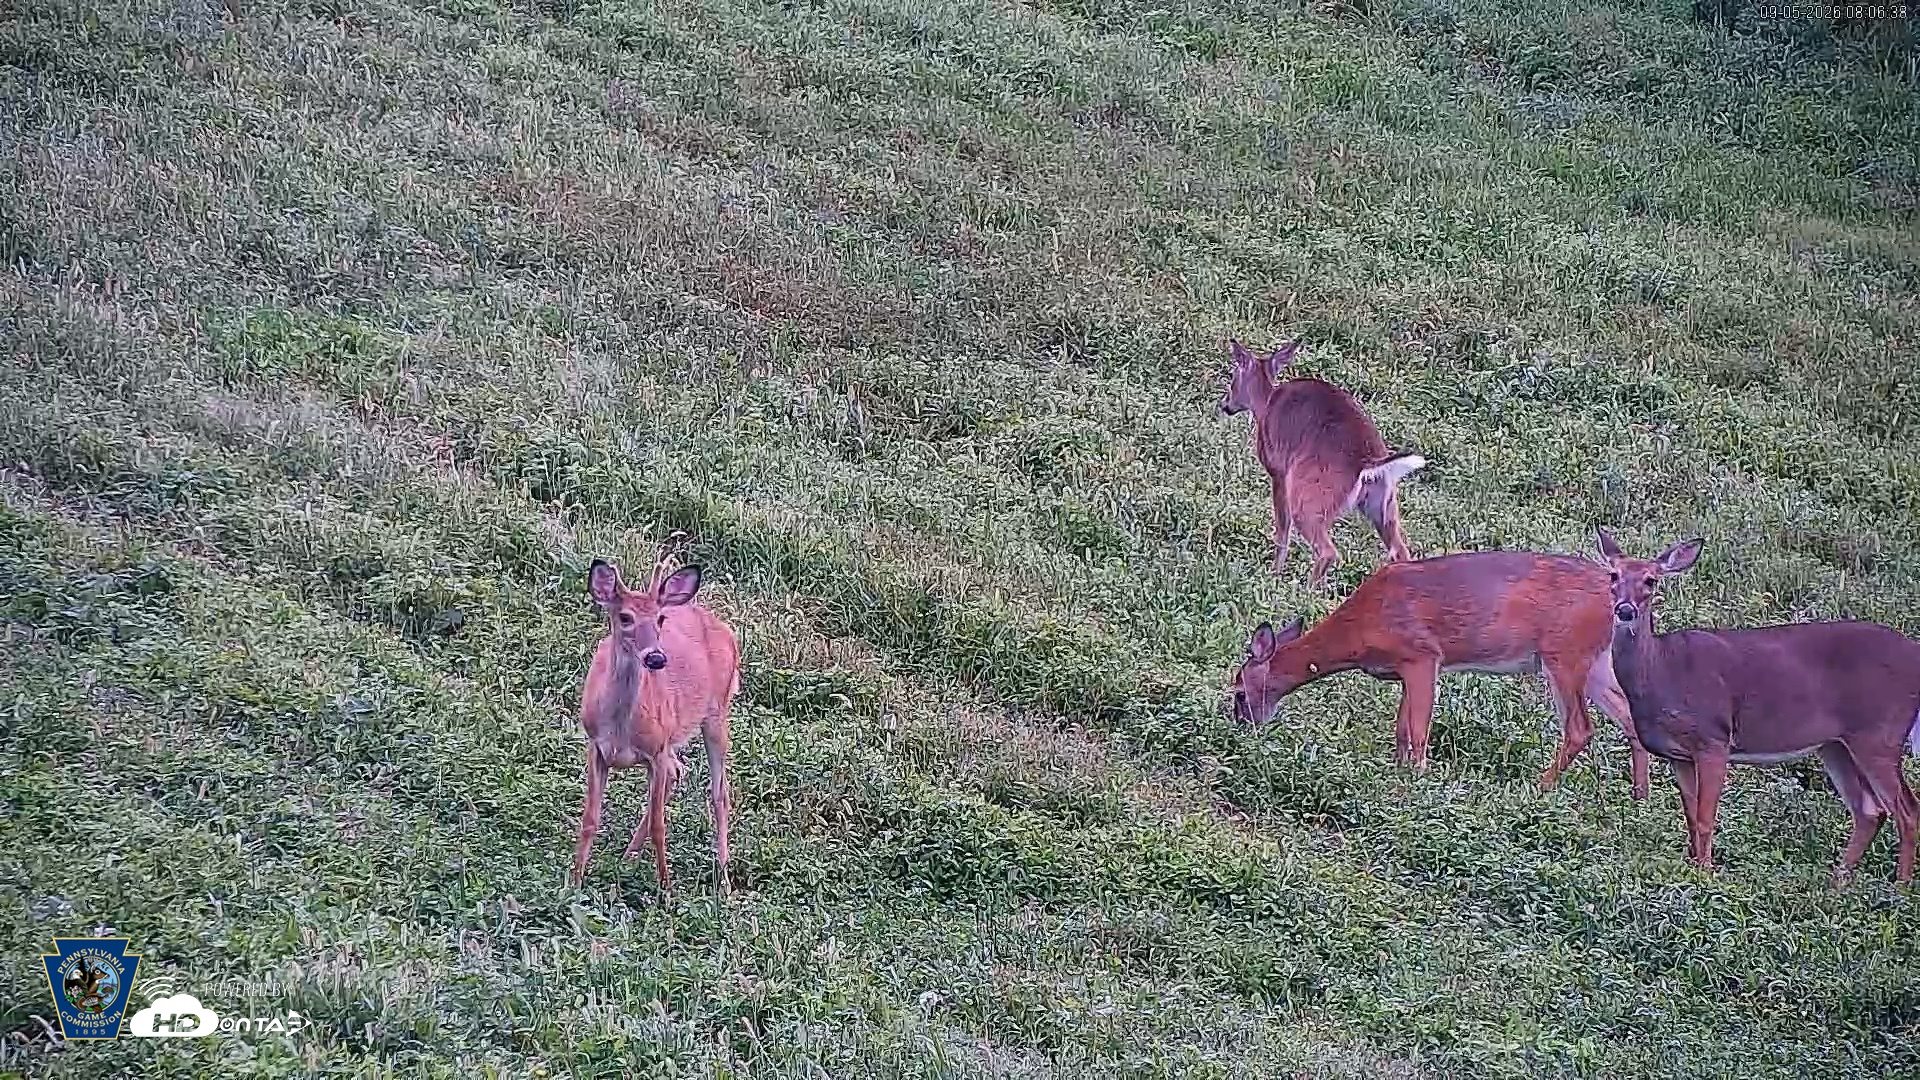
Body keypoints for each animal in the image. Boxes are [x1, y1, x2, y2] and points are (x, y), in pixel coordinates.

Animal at [572, 551, 741, 892]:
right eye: (625, 617)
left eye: (661, 619)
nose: (656, 658)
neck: (620, 728)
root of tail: (726, 631)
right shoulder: (596, 746)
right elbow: (590, 819)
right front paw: (573, 884)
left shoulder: (657, 750)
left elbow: (659, 825)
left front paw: (667, 891)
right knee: (679, 772)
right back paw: (627, 857)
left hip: (717, 713)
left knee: (720, 793)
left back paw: (724, 879)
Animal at [1216, 338, 1426, 589]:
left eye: (1233, 377)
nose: (1225, 404)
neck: (1265, 403)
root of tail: (1368, 462)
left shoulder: (1278, 471)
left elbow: (1282, 529)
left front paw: (1274, 573)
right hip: (1384, 505)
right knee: (1400, 551)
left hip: (1310, 496)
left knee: (1327, 550)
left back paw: (1306, 592)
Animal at [1229, 549, 1653, 800]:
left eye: (1238, 692)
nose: (1242, 726)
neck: (1360, 628)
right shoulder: (1404, 669)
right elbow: (1401, 729)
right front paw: (1399, 772)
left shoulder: (1422, 654)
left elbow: (1418, 730)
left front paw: (1418, 780)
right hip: (1595, 662)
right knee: (1630, 715)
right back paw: (1639, 798)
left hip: (1563, 654)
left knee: (1581, 727)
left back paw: (1539, 788)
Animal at [1597, 529, 1920, 884]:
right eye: (1613, 575)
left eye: (1651, 580)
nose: (1625, 610)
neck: (1661, 670)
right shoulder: (1677, 755)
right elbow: (1691, 818)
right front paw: (1693, 868)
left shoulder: (1714, 738)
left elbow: (1706, 817)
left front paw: (1706, 876)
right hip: (1836, 745)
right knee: (1870, 810)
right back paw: (1838, 883)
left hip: (1880, 733)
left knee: (1907, 810)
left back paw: (1900, 887)